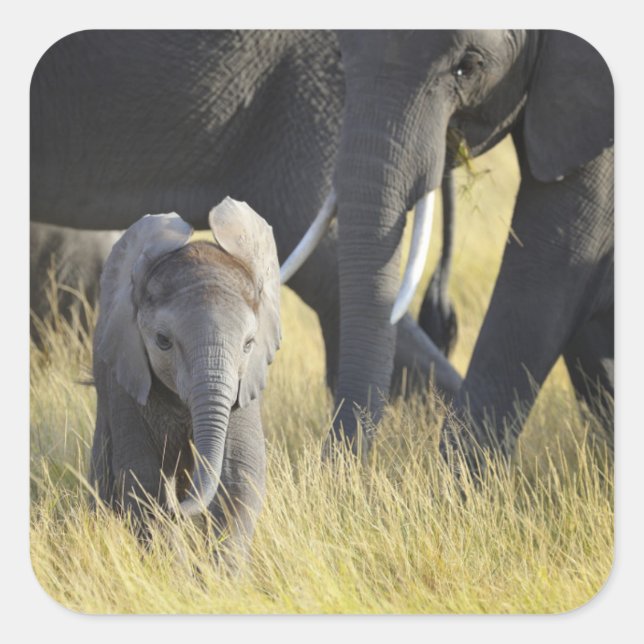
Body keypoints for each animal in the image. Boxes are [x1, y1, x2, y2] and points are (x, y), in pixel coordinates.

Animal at [89, 197, 280, 556]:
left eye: (249, 344)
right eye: (163, 341)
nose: (180, 505)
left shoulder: (243, 385)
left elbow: (240, 474)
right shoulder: (126, 377)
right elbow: (143, 479)